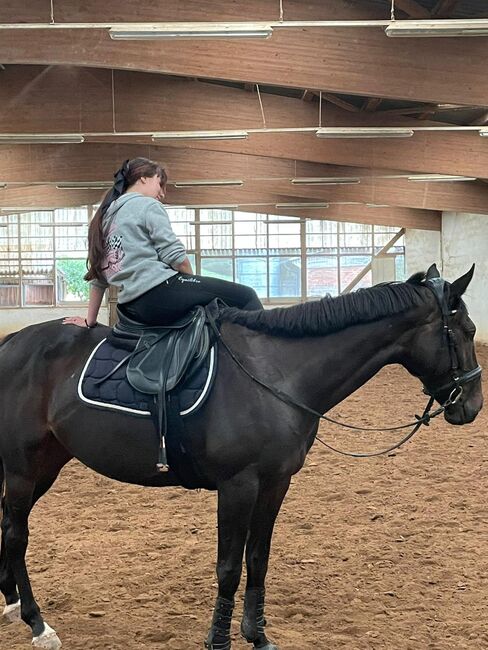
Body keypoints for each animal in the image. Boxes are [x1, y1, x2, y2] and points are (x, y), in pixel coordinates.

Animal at [0, 264, 482, 648]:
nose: (472, 406)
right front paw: (219, 640)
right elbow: (229, 566)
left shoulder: (275, 482)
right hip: (23, 469)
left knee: (9, 525)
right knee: (17, 534)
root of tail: (11, 345)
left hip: (47, 465)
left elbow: (259, 558)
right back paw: (37, 623)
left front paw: (258, 635)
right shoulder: (238, 485)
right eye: (467, 332)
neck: (278, 373)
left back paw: (11, 601)